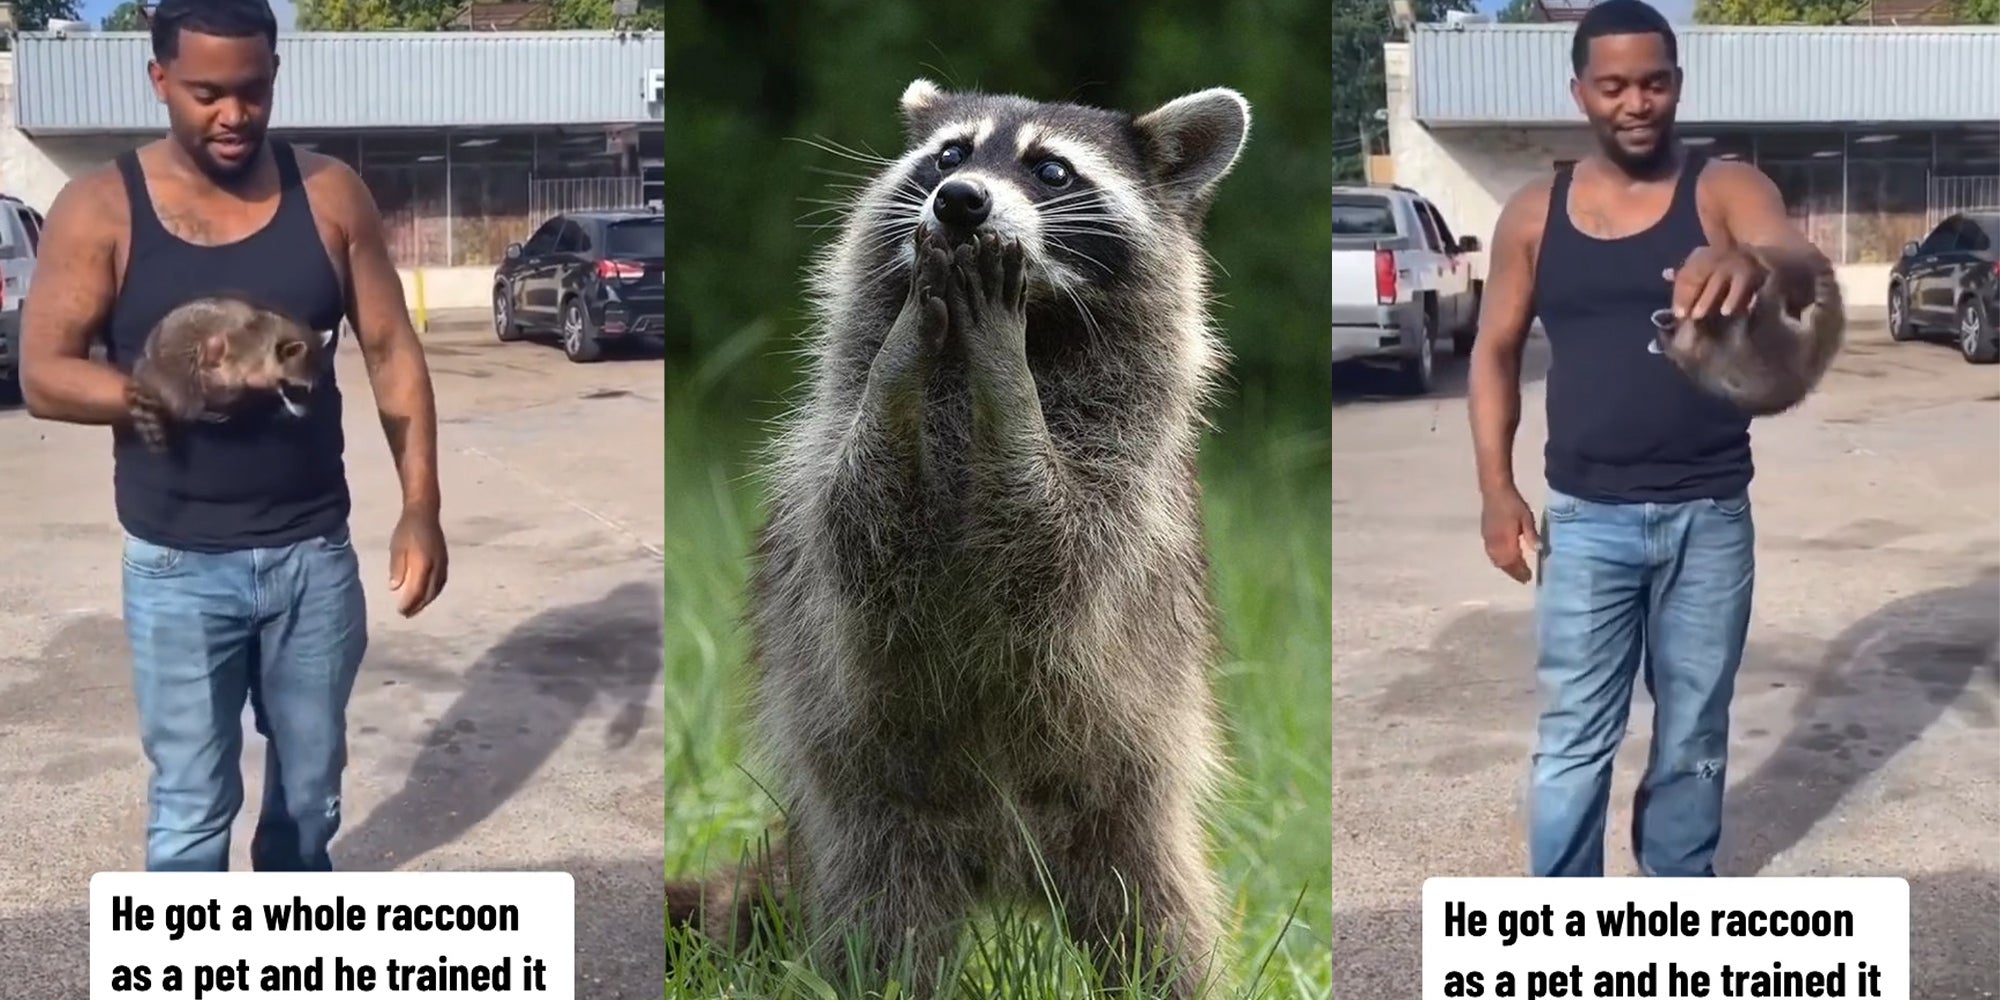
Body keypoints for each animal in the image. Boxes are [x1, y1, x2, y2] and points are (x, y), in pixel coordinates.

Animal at [126, 294, 325, 453]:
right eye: (306, 372)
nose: (314, 386)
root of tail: (147, 365)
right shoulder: (240, 346)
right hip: (177, 365)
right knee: (187, 397)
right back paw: (199, 412)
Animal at [668, 79, 1252, 998]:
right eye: (950, 154)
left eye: (1051, 170)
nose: (960, 199)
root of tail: (1004, 869)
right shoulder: (826, 464)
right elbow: (858, 523)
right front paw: (902, 359)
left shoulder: (1124, 480)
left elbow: (1053, 546)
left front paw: (1008, 390)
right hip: (878, 814)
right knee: (885, 928)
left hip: (1122, 798)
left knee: (1159, 921)